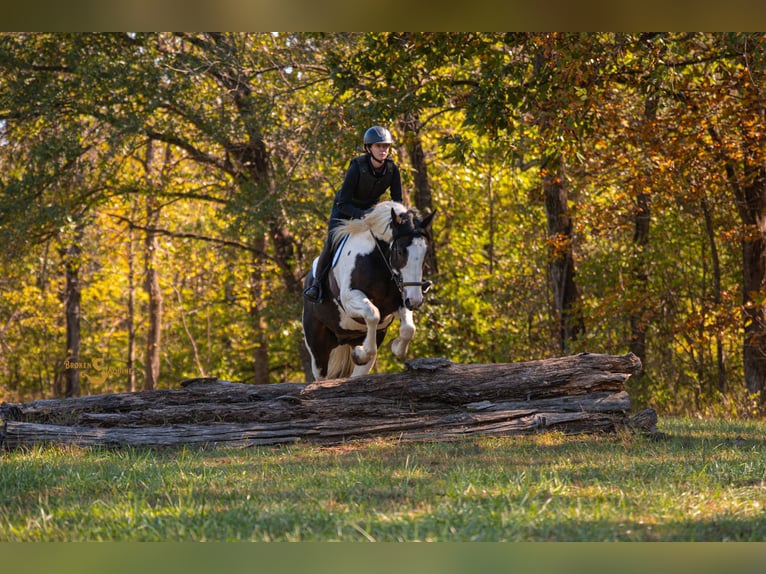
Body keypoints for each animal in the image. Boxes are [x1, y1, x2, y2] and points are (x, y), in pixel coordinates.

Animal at [302, 201, 436, 381]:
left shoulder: (400, 302)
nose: (415, 301)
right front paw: (361, 353)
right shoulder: (350, 298)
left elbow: (408, 329)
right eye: (400, 251)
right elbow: (373, 314)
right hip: (318, 347)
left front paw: (394, 347)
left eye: (425, 254)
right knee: (321, 376)